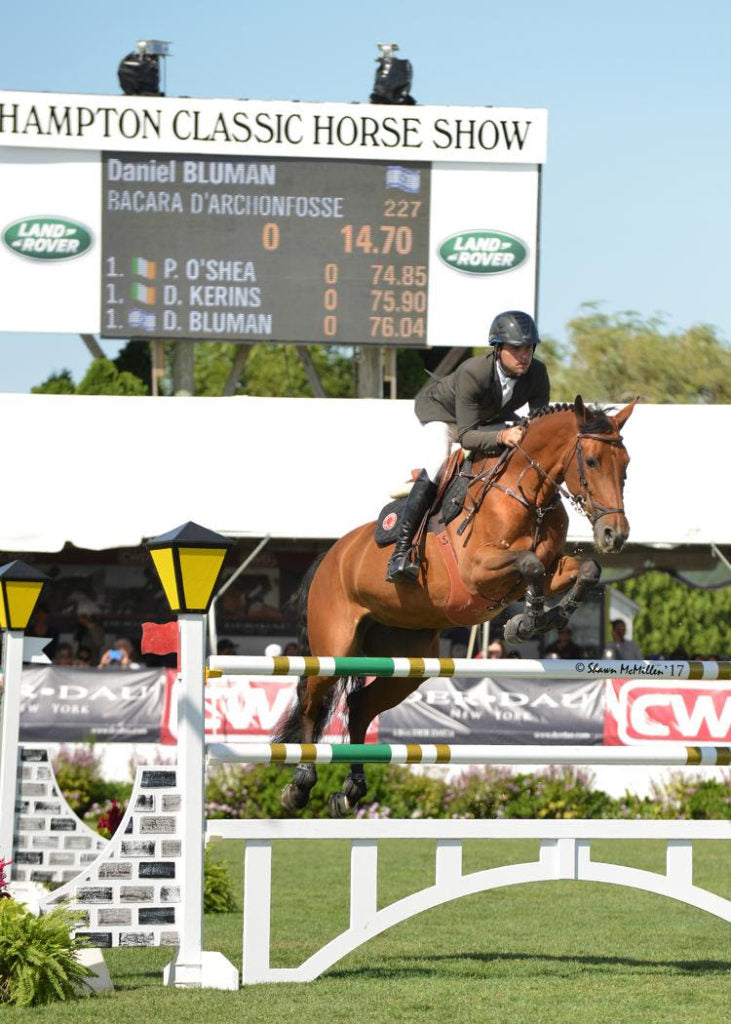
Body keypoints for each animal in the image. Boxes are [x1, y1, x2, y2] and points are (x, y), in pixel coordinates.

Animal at [276, 393, 634, 815]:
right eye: (591, 461)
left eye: (626, 464)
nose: (614, 535)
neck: (527, 494)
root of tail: (329, 556)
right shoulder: (477, 571)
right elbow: (528, 564)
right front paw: (526, 623)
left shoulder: (548, 570)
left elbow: (586, 569)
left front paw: (544, 618)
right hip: (335, 645)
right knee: (312, 697)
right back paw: (300, 783)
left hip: (410, 659)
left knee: (360, 704)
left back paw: (351, 789)